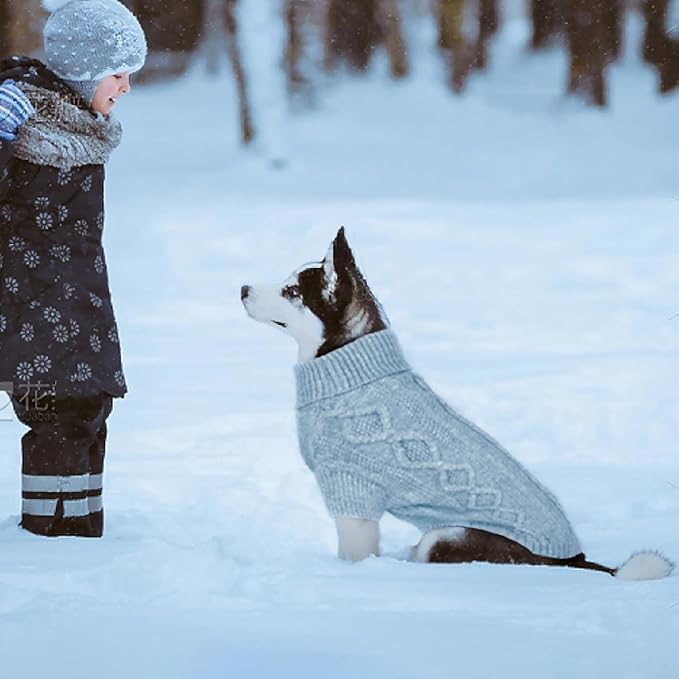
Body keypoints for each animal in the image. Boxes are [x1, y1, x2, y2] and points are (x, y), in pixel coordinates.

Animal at [243, 227, 676, 580]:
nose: (243, 289)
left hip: (445, 536)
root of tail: (573, 560)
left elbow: (354, 554)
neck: (344, 364)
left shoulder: (352, 490)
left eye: (291, 292)